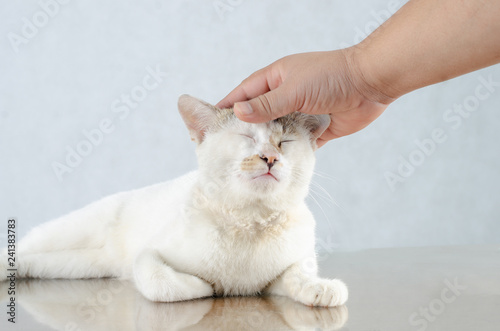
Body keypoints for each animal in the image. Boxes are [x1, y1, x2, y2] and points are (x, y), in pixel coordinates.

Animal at [1, 96, 348, 308]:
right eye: (247, 138)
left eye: (284, 142)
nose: (270, 157)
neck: (250, 222)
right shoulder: (148, 253)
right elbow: (159, 282)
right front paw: (204, 287)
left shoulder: (286, 268)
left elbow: (298, 273)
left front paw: (321, 288)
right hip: (70, 230)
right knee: (26, 244)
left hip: (78, 263)